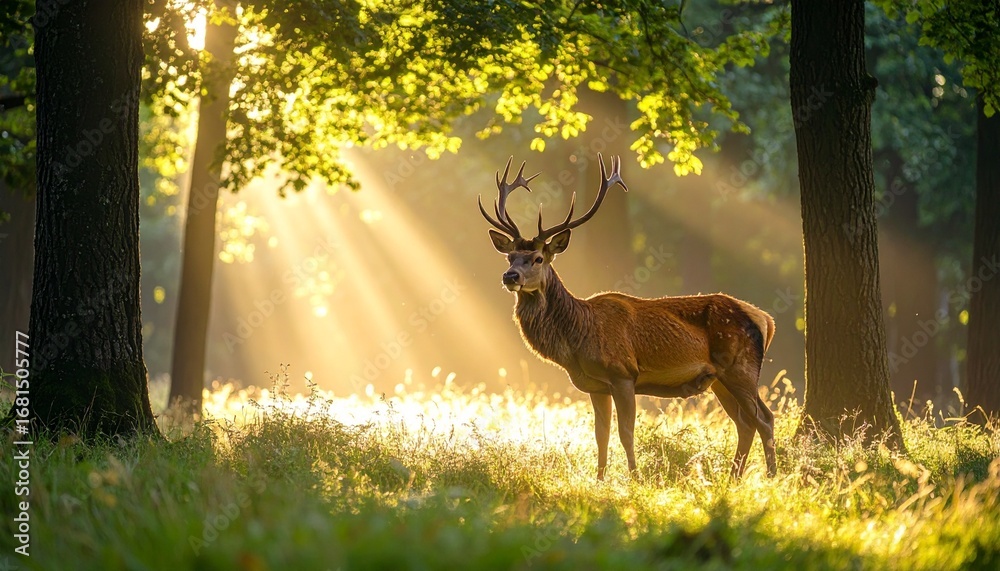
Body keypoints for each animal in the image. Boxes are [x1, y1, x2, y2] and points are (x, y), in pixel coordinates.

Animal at [479, 154, 777, 480]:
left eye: (537, 258)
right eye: (510, 257)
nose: (510, 276)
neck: (578, 338)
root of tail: (766, 319)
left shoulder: (622, 374)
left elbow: (626, 433)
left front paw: (635, 478)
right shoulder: (597, 386)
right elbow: (601, 435)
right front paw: (599, 480)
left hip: (741, 367)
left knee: (765, 418)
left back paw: (773, 476)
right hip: (719, 379)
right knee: (745, 423)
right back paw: (734, 478)